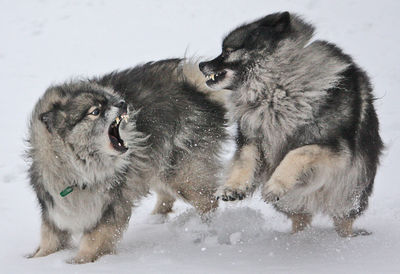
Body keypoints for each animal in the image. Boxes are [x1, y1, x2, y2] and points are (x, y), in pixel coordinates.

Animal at [27, 58, 228, 264]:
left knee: (207, 202)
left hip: (181, 174)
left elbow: (94, 239)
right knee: (167, 195)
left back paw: (206, 228)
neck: (80, 171)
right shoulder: (55, 208)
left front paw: (78, 261)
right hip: (156, 166)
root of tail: (196, 90)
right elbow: (49, 239)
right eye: (96, 111)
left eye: (110, 100)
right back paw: (155, 219)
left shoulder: (112, 205)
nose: (123, 103)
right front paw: (35, 259)